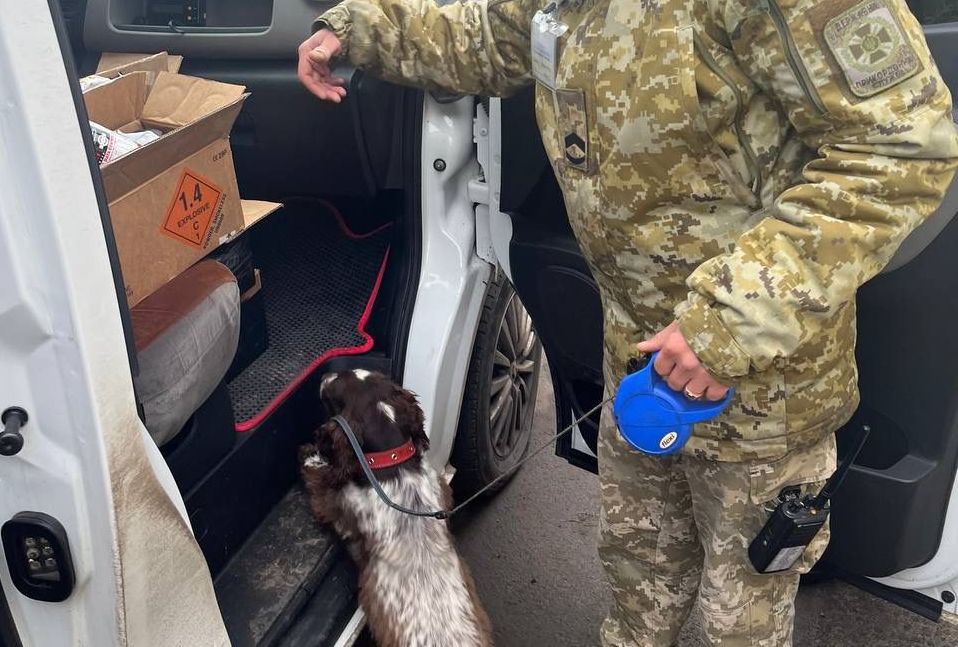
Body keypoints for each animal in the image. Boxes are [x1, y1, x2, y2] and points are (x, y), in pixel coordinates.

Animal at [299, 369, 493, 647]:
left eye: (335, 386)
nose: (325, 373)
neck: (393, 465)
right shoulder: (440, 486)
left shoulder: (336, 502)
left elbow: (317, 476)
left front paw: (309, 453)